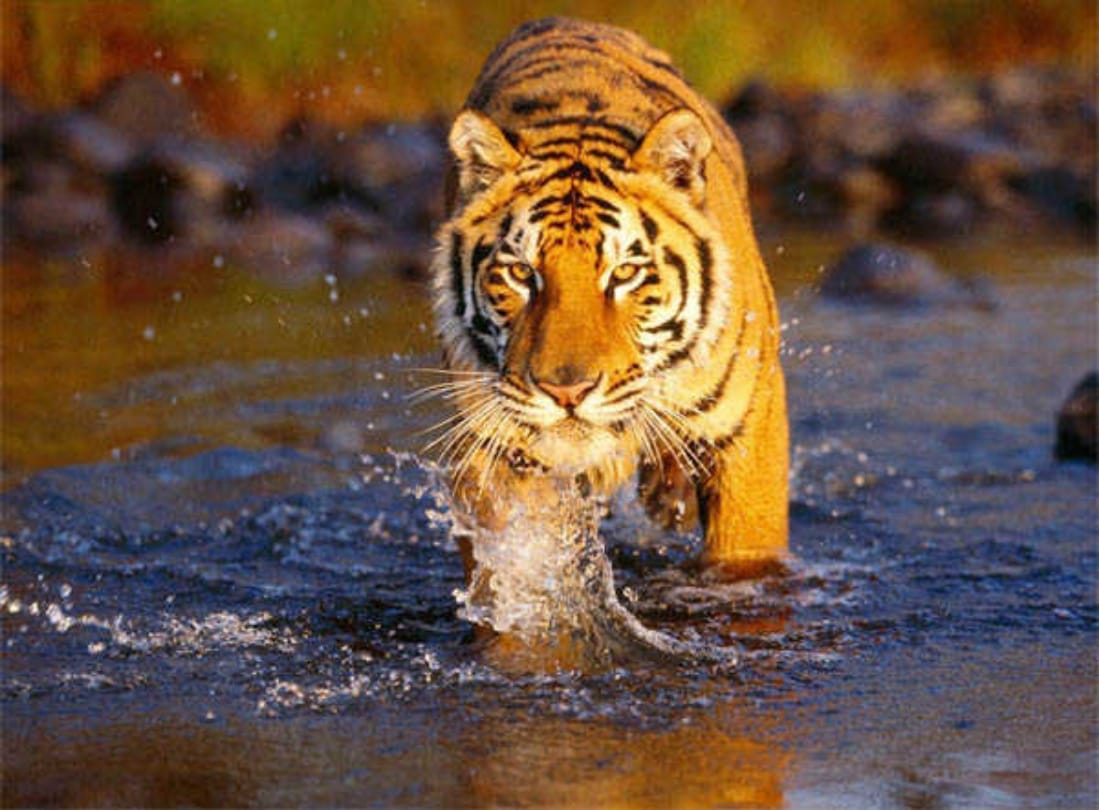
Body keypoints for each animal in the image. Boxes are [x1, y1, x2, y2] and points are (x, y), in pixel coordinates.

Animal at [427, 17, 788, 576]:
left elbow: (744, 556)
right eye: (521, 273)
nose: (567, 393)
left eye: (625, 273)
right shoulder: (490, 445)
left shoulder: (749, 431)